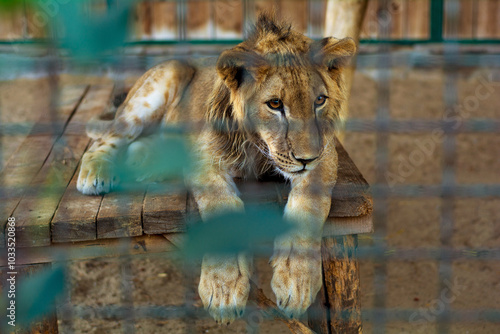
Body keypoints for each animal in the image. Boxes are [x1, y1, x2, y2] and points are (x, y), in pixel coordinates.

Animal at [76, 15, 354, 324]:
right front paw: (224, 289)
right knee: (107, 139)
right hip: (157, 87)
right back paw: (96, 174)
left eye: (320, 101)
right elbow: (221, 205)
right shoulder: (204, 156)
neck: (257, 146)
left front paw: (297, 282)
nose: (306, 159)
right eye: (275, 104)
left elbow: (309, 207)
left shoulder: (325, 153)